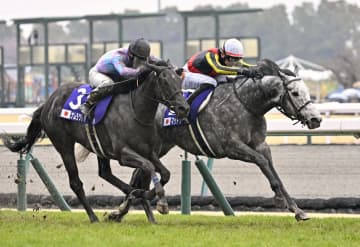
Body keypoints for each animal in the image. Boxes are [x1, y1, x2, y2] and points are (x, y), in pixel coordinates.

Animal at [1, 61, 190, 222]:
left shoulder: (150, 152)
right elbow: (149, 167)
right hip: (64, 144)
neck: (136, 112)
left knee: (105, 173)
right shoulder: (123, 154)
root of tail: (48, 101)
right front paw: (160, 202)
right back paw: (94, 217)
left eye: (179, 81)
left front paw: (147, 196)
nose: (184, 108)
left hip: (99, 147)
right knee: (76, 182)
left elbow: (165, 173)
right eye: (164, 82)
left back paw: (133, 194)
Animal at [123, 59, 320, 222]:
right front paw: (278, 199)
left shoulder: (261, 145)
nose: (316, 119)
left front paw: (298, 210)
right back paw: (127, 207)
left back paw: (125, 210)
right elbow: (262, 162)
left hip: (162, 146)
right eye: (295, 93)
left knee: (139, 174)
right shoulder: (231, 147)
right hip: (154, 146)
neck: (247, 104)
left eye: (307, 92)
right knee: (140, 174)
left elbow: (273, 171)